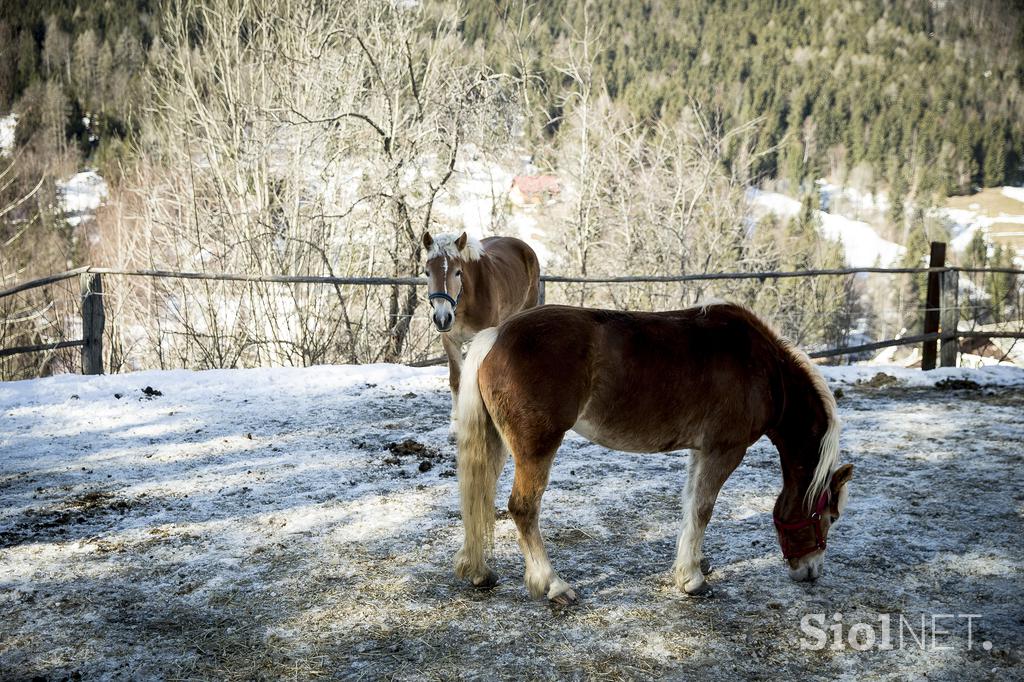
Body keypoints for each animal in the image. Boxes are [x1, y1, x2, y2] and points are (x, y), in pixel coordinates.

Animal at [419, 231, 540, 428]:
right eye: (427, 272)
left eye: (458, 272)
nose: (442, 318)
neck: (465, 301)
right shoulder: (450, 340)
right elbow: (456, 380)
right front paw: (455, 422)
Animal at [452, 301, 851, 602]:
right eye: (830, 517)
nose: (812, 572)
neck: (763, 369)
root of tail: (496, 336)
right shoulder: (725, 450)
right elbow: (703, 510)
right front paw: (692, 580)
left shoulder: (701, 450)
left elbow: (691, 506)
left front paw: (693, 565)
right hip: (536, 448)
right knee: (523, 509)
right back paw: (553, 585)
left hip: (498, 444)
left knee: (479, 500)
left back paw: (480, 572)